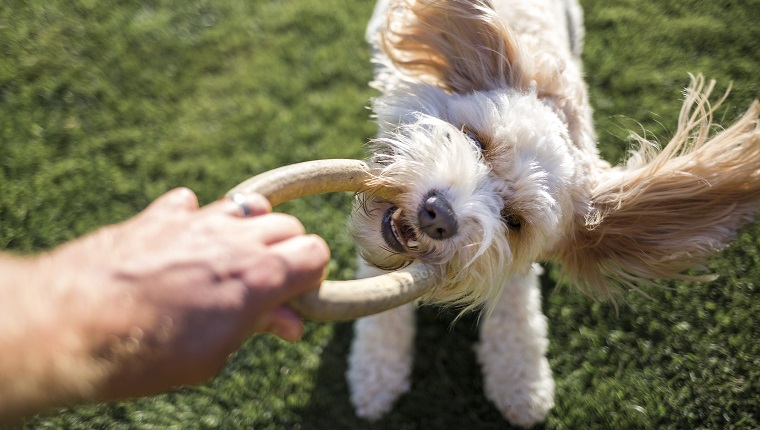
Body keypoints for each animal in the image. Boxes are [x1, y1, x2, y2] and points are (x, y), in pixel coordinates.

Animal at [346, 0, 760, 426]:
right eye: (476, 141)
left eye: (514, 221)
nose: (439, 214)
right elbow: (380, 309)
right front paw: (376, 375)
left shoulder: (516, 265)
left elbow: (517, 318)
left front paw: (522, 385)